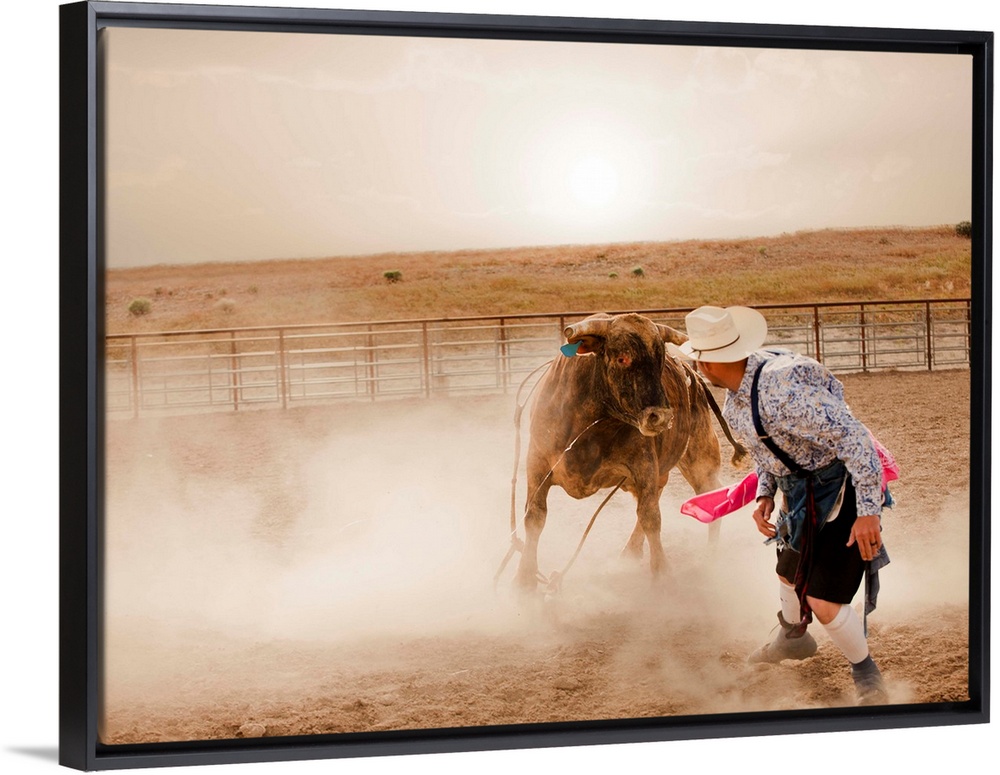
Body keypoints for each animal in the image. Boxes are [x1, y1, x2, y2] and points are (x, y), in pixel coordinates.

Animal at [515, 311, 747, 592]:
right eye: (622, 358)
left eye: (660, 361)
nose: (661, 416)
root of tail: (695, 377)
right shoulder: (537, 462)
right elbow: (534, 516)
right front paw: (525, 577)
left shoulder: (643, 464)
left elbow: (650, 517)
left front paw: (662, 572)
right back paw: (631, 551)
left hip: (700, 459)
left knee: (708, 495)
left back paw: (711, 556)